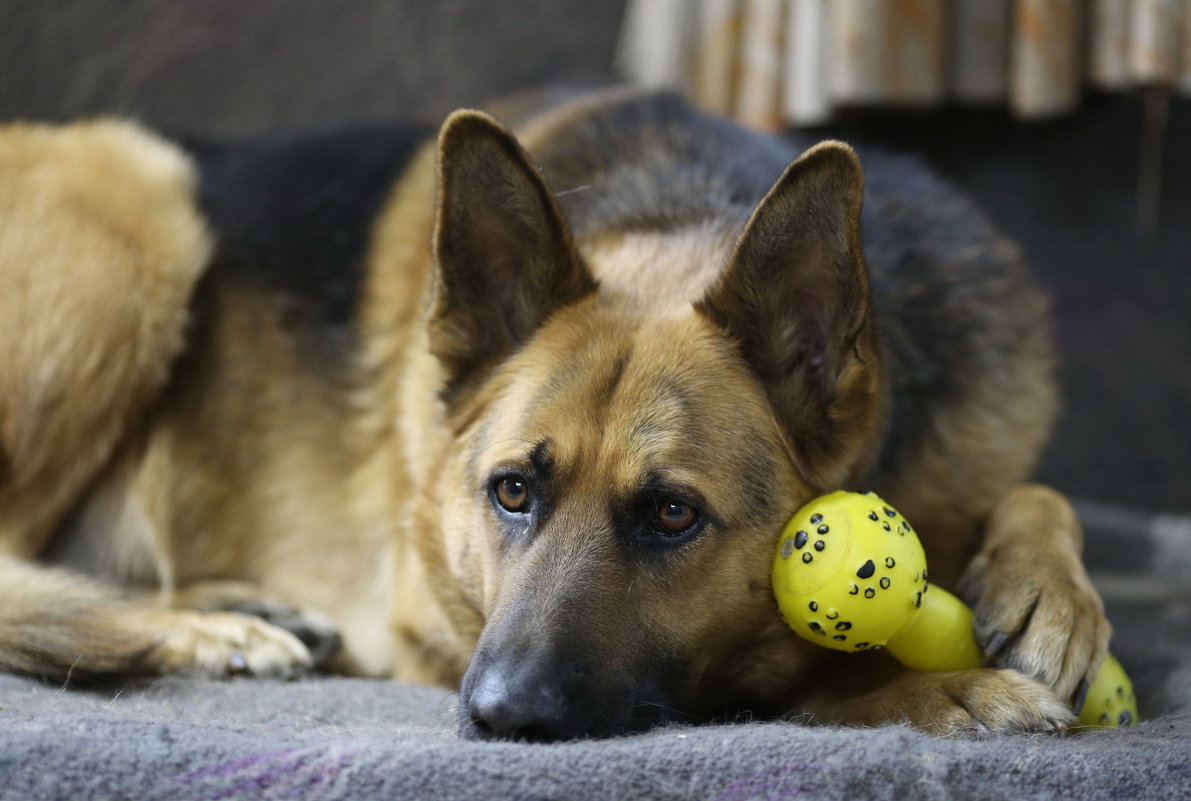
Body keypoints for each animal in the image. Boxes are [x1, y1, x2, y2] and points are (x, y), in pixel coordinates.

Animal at [0, 87, 1105, 737]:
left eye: (672, 514)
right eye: (511, 491)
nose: (498, 715)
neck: (676, 206)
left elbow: (1041, 490)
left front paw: (1046, 593)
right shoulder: (433, 606)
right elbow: (778, 681)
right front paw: (923, 690)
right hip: (136, 203)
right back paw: (196, 629)